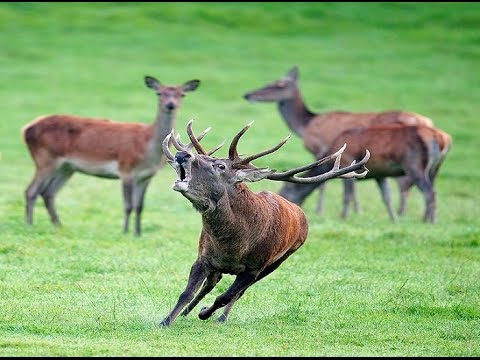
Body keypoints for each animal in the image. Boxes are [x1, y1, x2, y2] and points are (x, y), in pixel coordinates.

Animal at [22, 75, 201, 236]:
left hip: (67, 167)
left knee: (48, 192)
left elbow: (140, 206)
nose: (170, 105)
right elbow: (128, 205)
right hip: (45, 158)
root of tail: (26, 129)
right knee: (31, 190)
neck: (148, 150)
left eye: (181, 94)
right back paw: (29, 224)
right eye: (159, 93)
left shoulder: (147, 176)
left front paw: (138, 233)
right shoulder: (126, 169)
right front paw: (125, 231)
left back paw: (58, 226)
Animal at [159, 119, 370, 326]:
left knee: (237, 293)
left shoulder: (254, 268)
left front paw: (205, 313)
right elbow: (187, 293)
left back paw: (221, 317)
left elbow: (225, 297)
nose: (183, 154)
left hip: (278, 261)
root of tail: (301, 214)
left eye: (220, 166)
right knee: (211, 284)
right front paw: (167, 321)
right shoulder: (204, 257)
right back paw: (187, 313)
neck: (233, 246)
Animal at [246, 66, 436, 221]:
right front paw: (358, 211)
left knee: (416, 188)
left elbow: (329, 186)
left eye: (278, 85)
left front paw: (327, 211)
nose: (248, 94)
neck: (305, 125)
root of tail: (430, 124)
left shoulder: (322, 150)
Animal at [280, 125, 452, 224]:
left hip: (414, 166)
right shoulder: (380, 175)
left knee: (430, 192)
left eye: (286, 191)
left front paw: (343, 217)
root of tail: (442, 139)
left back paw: (431, 221)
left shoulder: (347, 164)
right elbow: (387, 198)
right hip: (435, 168)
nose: (290, 210)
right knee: (431, 190)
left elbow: (347, 195)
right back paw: (425, 218)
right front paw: (394, 219)